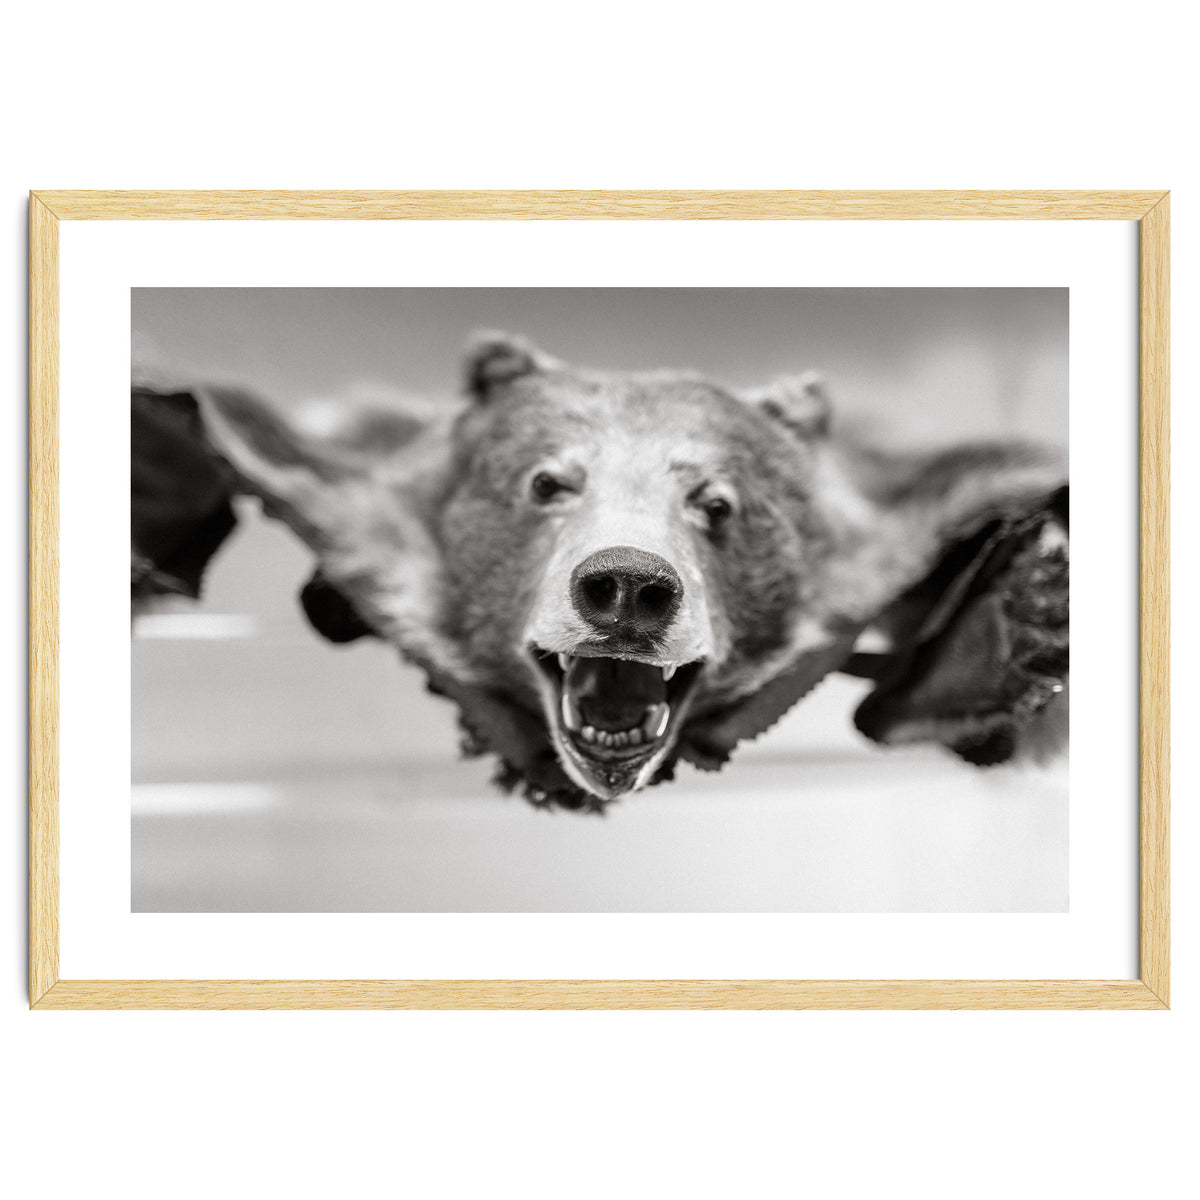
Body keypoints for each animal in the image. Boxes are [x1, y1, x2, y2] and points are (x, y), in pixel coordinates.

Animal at [135, 334, 1069, 811]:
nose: (627, 586)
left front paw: (1031, 618)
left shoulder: (902, 525)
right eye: (547, 482)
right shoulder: (340, 498)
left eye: (717, 501)